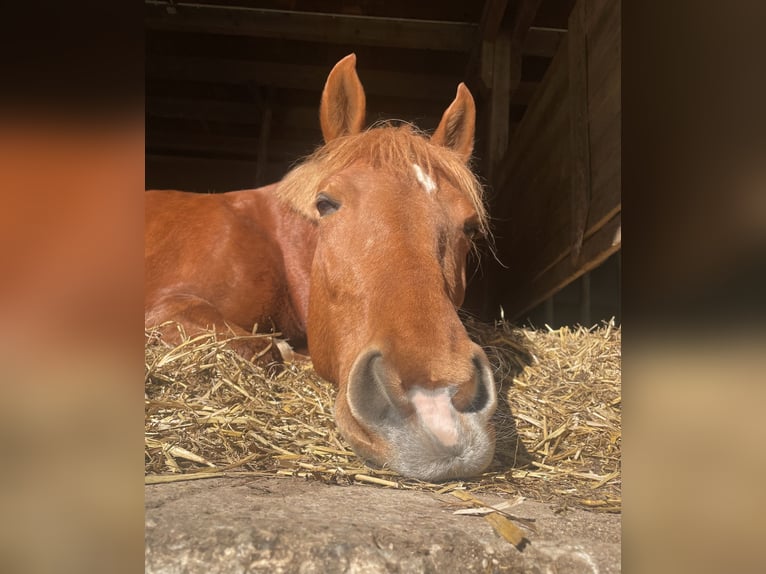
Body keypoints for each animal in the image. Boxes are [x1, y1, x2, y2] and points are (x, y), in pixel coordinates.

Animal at [145, 54, 497, 481]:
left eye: (470, 226)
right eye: (326, 203)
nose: (434, 400)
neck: (271, 243)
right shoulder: (165, 308)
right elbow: (265, 347)